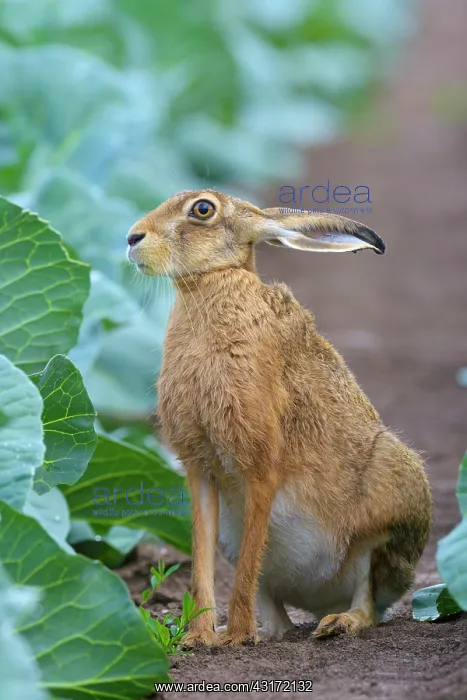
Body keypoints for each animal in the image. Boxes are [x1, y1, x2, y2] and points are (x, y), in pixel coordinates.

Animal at [127, 189, 432, 646]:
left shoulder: (261, 465)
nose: (132, 238)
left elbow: (250, 555)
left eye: (203, 209)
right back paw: (263, 631)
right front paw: (198, 638)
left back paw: (335, 624)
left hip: (387, 510)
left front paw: (236, 638)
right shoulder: (200, 470)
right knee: (274, 608)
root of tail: (322, 598)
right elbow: (201, 561)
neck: (213, 282)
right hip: (235, 540)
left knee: (367, 599)